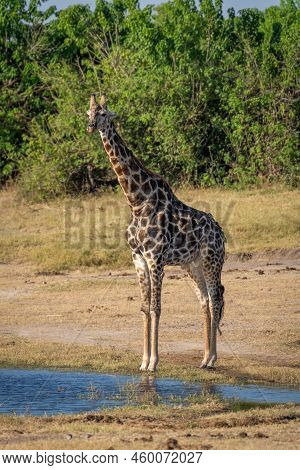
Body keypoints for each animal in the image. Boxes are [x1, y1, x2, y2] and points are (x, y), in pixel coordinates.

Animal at [86, 94, 225, 370]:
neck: (137, 202)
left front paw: (153, 362)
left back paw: (213, 359)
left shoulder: (155, 259)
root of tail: (222, 235)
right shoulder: (138, 258)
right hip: (191, 265)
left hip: (211, 261)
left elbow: (156, 308)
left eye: (104, 113)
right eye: (88, 112)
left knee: (216, 298)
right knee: (204, 300)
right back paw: (204, 358)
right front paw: (143, 361)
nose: (91, 126)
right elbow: (143, 307)